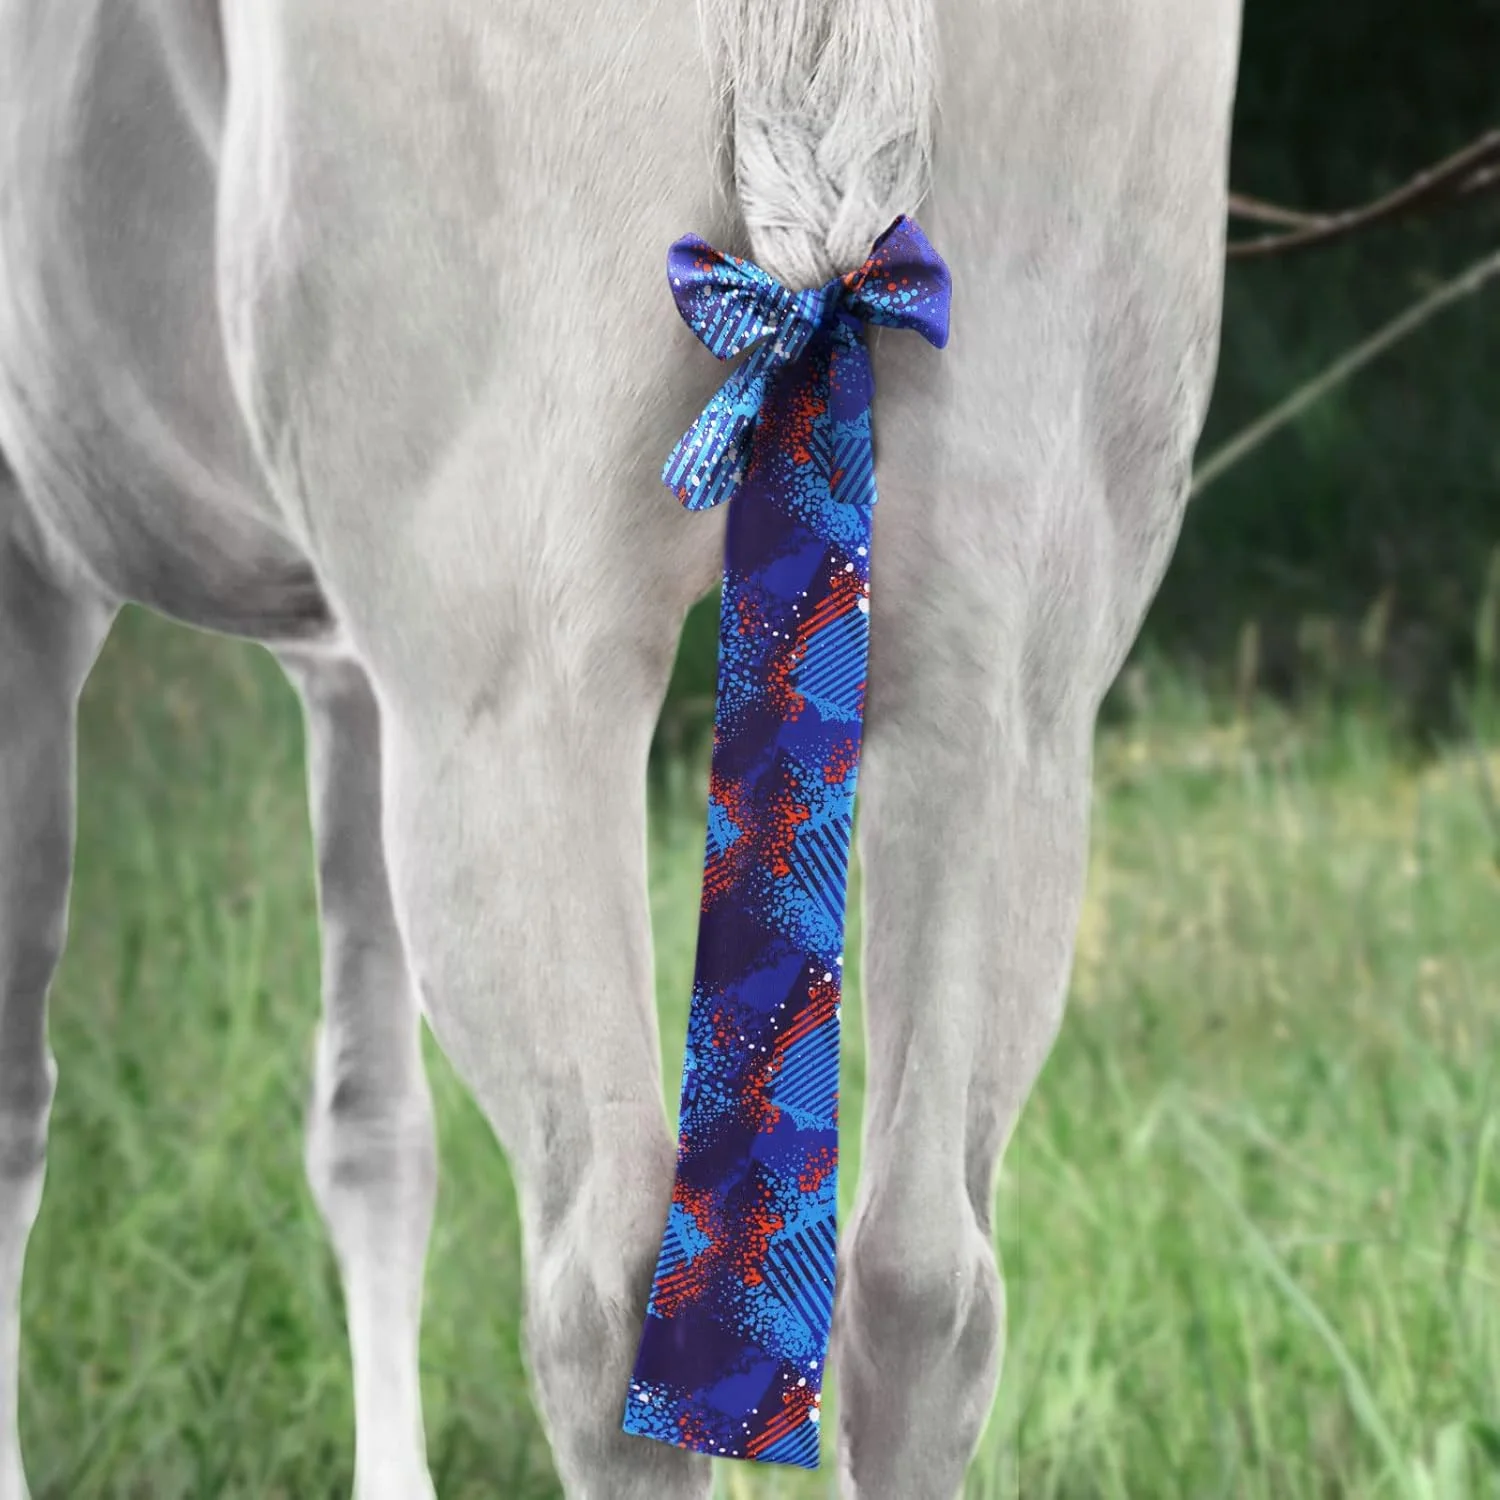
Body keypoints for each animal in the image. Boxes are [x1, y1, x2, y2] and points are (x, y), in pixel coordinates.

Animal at [0, 1, 1243, 1494]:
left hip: (517, 696)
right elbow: (372, 1128)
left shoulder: (37, 582)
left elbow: (16, 1110)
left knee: (610, 1285)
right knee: (925, 1281)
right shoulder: (347, 674)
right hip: (1006, 687)